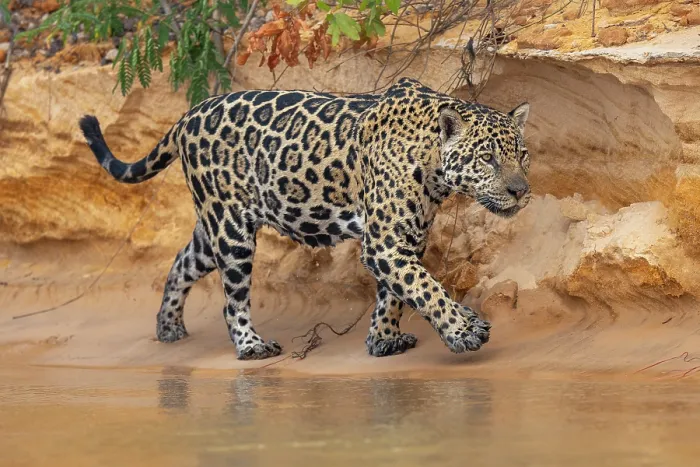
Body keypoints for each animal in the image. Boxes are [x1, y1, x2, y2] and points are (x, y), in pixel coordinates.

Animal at [78, 77, 531, 360]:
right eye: (487, 158)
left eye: (522, 155)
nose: (521, 191)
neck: (433, 164)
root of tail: (188, 115)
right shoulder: (385, 242)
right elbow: (424, 287)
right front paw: (462, 331)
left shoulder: (407, 238)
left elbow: (396, 292)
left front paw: (383, 339)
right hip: (231, 231)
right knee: (231, 301)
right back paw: (250, 346)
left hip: (214, 228)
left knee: (181, 262)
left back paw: (169, 326)